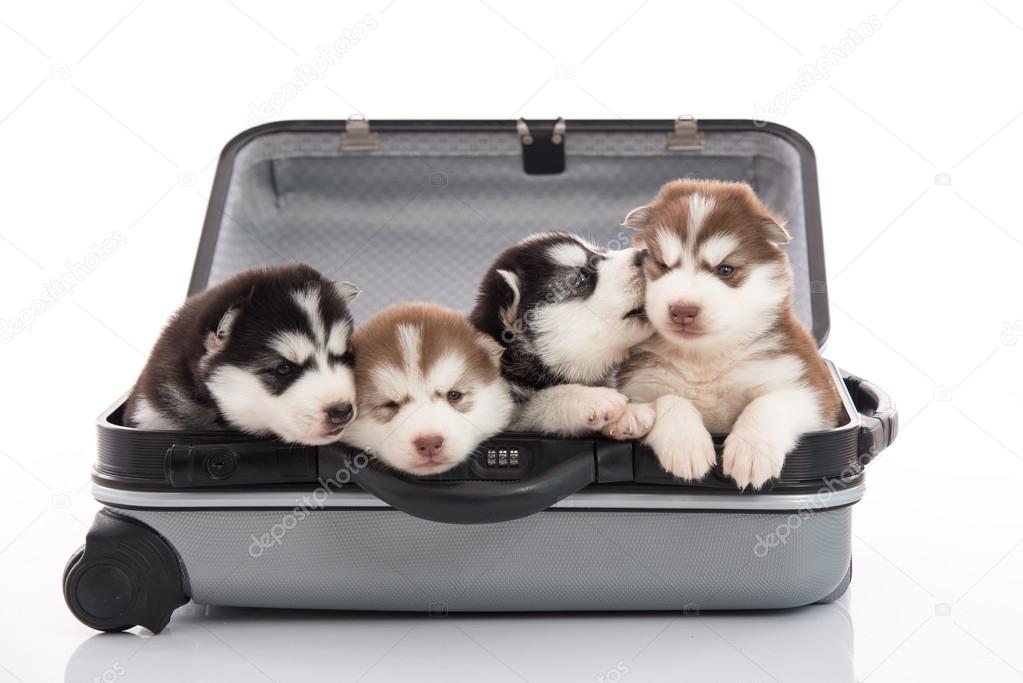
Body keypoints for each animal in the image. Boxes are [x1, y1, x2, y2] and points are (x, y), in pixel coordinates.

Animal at [470, 233, 654, 437]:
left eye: (601, 251)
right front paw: (588, 398)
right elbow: (533, 403)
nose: (645, 254)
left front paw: (630, 410)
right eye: (581, 277)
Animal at [613, 180, 838, 488]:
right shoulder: (637, 384)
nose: (682, 310)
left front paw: (751, 451)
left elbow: (769, 403)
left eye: (725, 270)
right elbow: (667, 399)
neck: (703, 359)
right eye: (663, 265)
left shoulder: (812, 392)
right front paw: (685, 443)